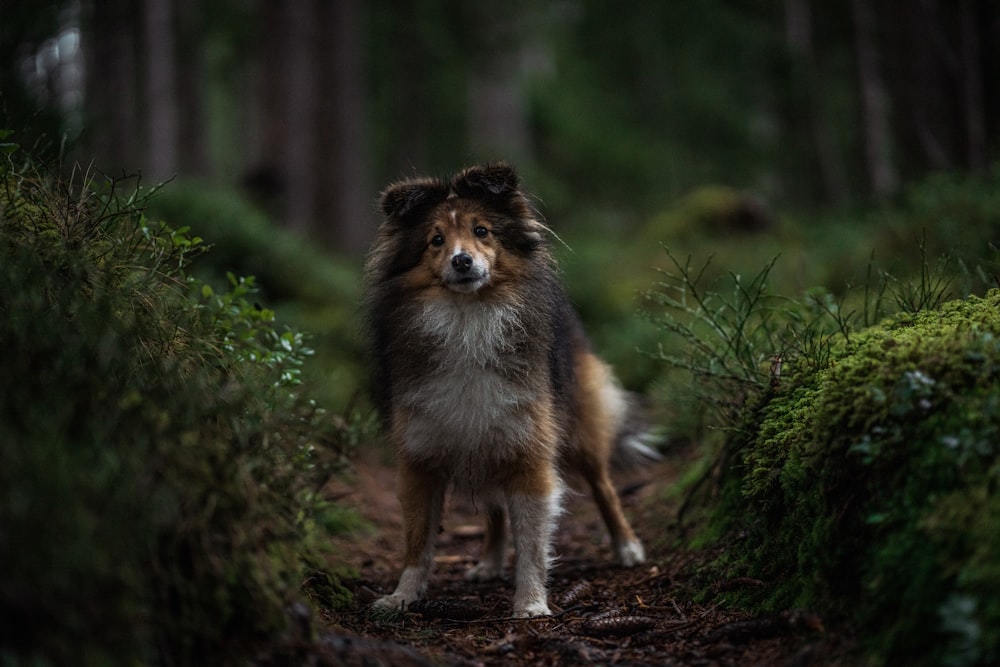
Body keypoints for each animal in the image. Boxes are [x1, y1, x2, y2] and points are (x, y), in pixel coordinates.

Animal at [364, 164, 660, 620]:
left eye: (482, 231)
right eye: (436, 239)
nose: (462, 260)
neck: (467, 321)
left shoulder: (529, 451)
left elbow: (533, 544)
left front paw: (532, 602)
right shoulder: (420, 458)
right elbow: (416, 541)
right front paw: (402, 596)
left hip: (579, 432)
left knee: (604, 487)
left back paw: (627, 546)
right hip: (485, 444)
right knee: (494, 510)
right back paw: (488, 561)